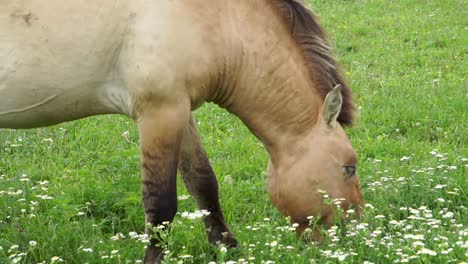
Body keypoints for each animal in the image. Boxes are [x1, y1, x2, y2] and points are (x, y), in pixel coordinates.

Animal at [0, 0, 364, 262]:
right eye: (349, 167)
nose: (356, 236)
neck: (214, 19)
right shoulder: (160, 113)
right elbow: (160, 205)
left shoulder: (181, 110)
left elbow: (204, 184)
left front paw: (227, 248)